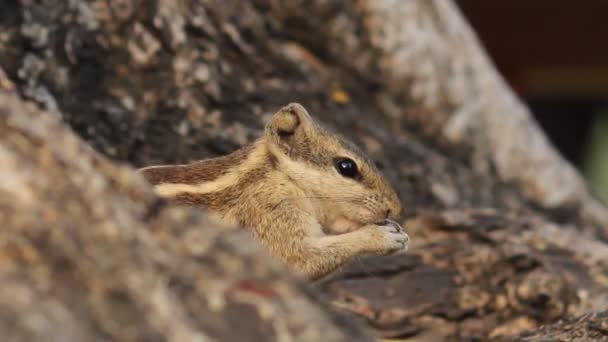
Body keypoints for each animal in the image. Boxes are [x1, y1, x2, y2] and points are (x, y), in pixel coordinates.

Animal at [139, 103, 408, 280]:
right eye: (346, 166)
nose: (395, 208)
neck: (282, 176)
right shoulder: (270, 212)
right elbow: (301, 259)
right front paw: (385, 237)